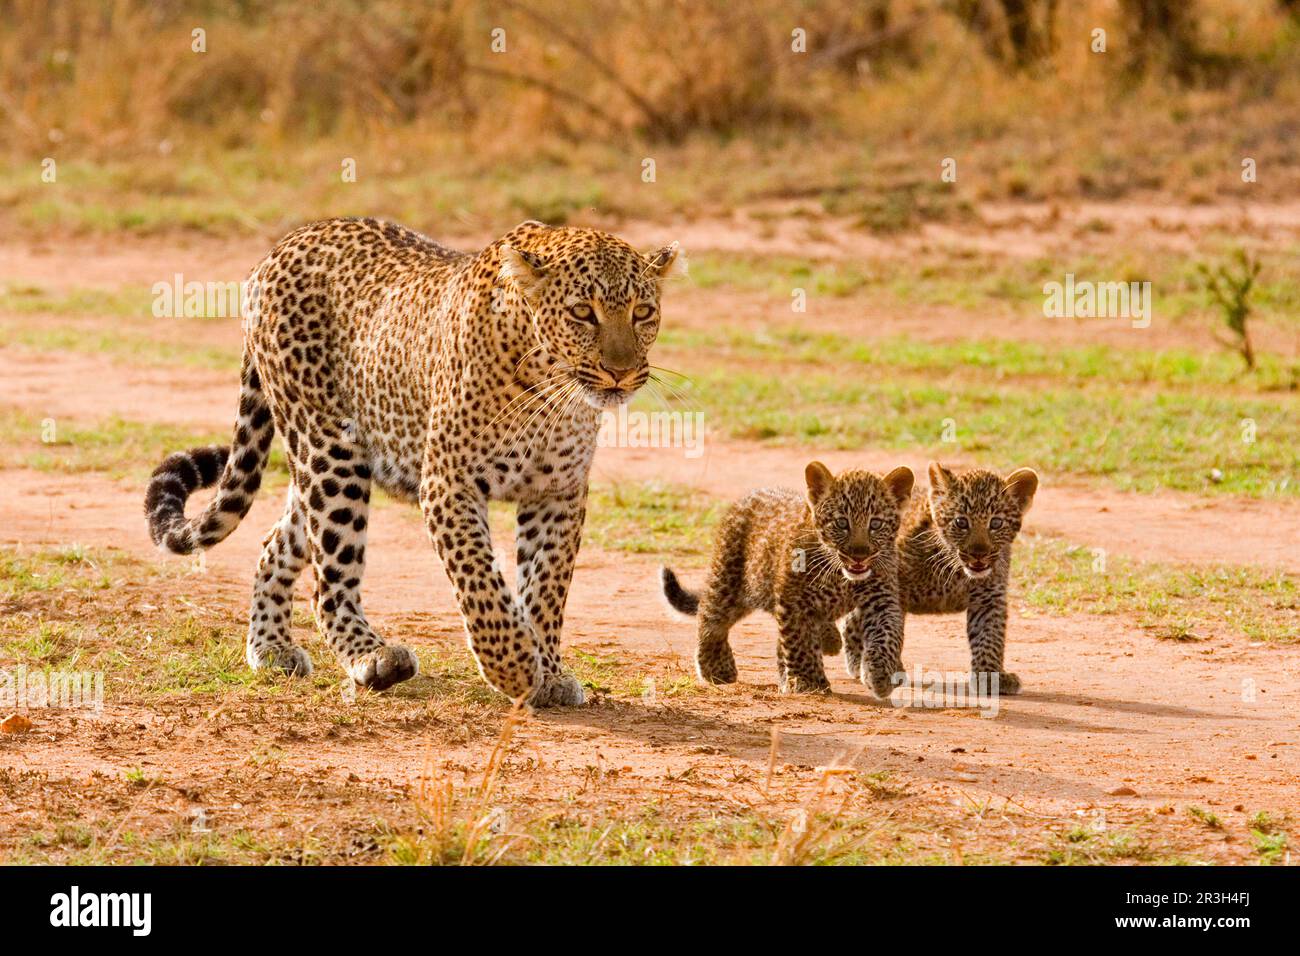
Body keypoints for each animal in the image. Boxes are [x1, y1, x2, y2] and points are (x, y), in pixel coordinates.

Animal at [145, 217, 685, 706]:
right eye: (581, 313)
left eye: (642, 312)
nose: (621, 373)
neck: (548, 389)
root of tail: (280, 246)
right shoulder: (449, 483)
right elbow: (481, 583)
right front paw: (513, 666)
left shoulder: (558, 491)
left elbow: (546, 588)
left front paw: (548, 671)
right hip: (330, 454)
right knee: (329, 578)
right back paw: (371, 657)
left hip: (323, 467)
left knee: (277, 543)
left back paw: (271, 648)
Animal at [660, 461, 913, 694]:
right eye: (842, 523)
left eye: (875, 524)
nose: (859, 555)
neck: (841, 576)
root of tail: (746, 498)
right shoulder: (793, 600)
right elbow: (799, 641)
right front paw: (806, 681)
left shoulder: (881, 597)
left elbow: (887, 633)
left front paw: (881, 675)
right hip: (729, 579)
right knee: (710, 615)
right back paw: (716, 667)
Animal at [843, 462, 1039, 699]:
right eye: (961, 522)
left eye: (996, 523)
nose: (979, 554)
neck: (956, 570)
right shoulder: (893, 589)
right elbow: (890, 629)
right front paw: (889, 670)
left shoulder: (989, 597)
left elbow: (990, 637)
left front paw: (992, 677)